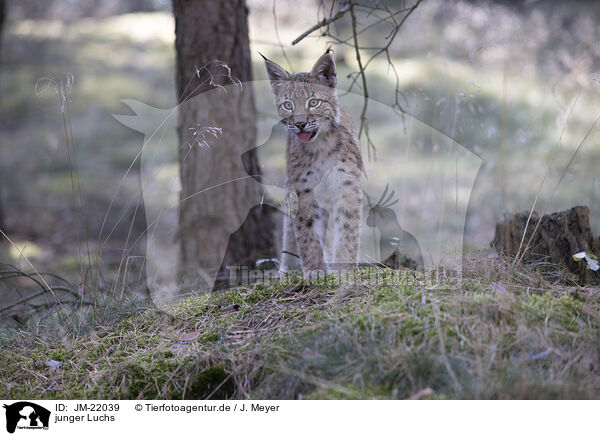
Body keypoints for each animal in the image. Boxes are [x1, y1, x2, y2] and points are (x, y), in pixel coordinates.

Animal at [264, 51, 366, 274]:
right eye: (288, 105)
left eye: (313, 102)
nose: (300, 124)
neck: (321, 146)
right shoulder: (302, 189)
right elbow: (306, 231)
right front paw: (315, 270)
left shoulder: (348, 185)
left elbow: (348, 228)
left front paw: (345, 267)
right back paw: (287, 267)